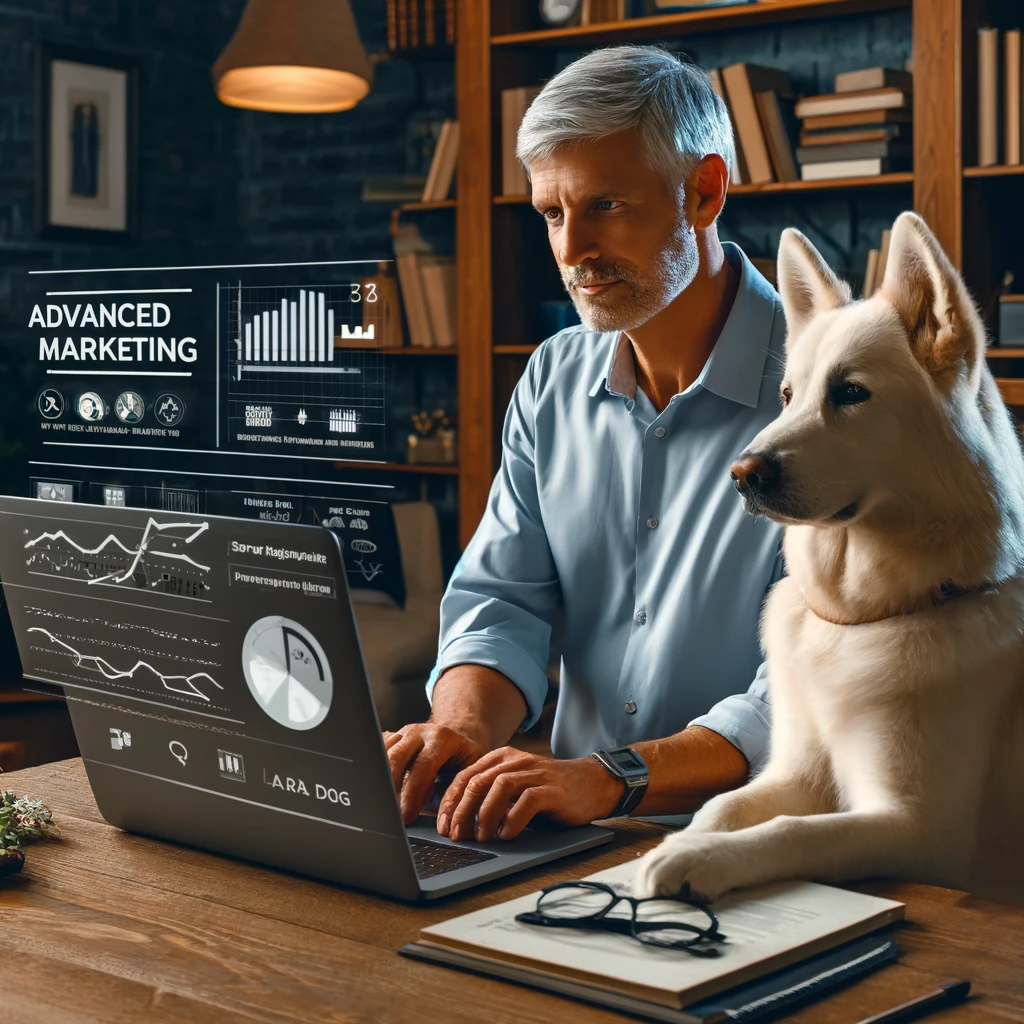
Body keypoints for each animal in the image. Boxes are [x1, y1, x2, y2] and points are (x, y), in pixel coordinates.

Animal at [630, 214, 1024, 905]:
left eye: (851, 393)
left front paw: (695, 860)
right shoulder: (796, 771)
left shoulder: (916, 826)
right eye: (788, 394)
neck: (864, 619)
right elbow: (722, 806)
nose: (740, 474)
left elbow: (791, 831)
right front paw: (676, 844)